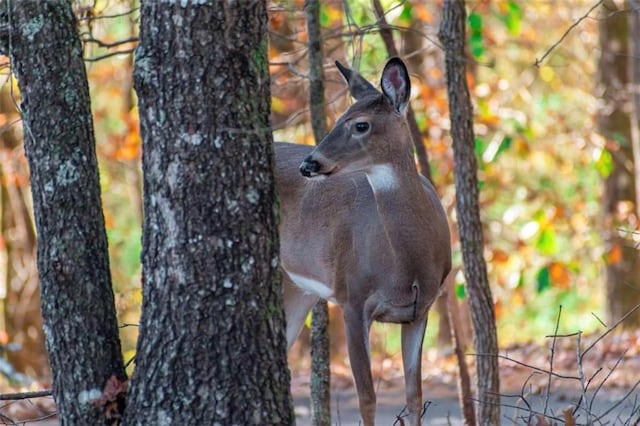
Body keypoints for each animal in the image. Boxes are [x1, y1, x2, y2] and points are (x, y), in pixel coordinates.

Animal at [274, 57, 450, 426]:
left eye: (361, 125)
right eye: (338, 117)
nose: (309, 164)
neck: (408, 265)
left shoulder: (420, 309)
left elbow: (414, 396)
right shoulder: (352, 297)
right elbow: (367, 398)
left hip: (297, 289)